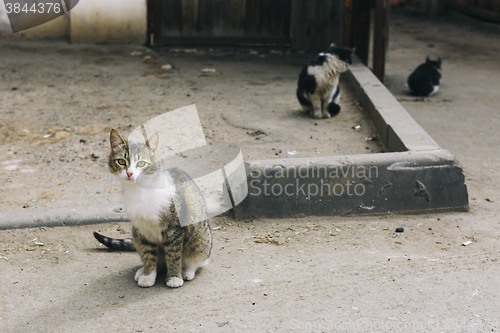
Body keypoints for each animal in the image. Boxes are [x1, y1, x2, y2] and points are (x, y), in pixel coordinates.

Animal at [94, 128, 212, 286]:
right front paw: (148, 275)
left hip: (200, 238)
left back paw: (187, 271)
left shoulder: (174, 228)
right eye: (121, 161)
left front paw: (174, 277)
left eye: (141, 163)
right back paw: (143, 270)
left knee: (197, 259)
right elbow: (148, 253)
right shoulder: (142, 229)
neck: (139, 191)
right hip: (135, 233)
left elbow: (174, 254)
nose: (129, 173)